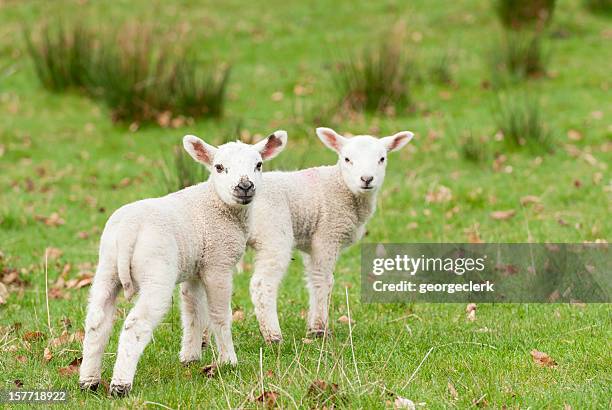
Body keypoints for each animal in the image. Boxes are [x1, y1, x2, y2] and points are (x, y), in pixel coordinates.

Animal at [78, 130, 286, 396]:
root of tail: (127, 231)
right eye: (219, 167)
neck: (217, 204)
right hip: (156, 271)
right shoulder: (218, 263)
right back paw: (120, 385)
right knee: (135, 325)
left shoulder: (195, 268)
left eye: (258, 165)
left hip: (107, 267)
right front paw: (228, 361)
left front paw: (190, 357)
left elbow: (193, 311)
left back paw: (88, 381)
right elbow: (219, 315)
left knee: (97, 320)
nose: (245, 186)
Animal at [246, 126, 414, 342]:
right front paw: (319, 330)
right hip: (273, 231)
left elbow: (312, 279)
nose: (367, 179)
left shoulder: (312, 241)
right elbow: (323, 280)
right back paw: (273, 336)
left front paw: (313, 325)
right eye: (347, 159)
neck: (340, 185)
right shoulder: (327, 234)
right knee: (262, 284)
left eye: (382, 158)